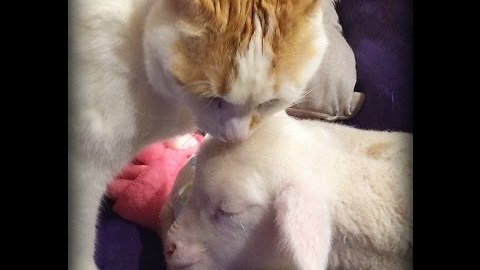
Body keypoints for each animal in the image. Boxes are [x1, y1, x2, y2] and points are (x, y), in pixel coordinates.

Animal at [70, 1, 342, 268]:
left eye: (269, 103)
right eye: (212, 99)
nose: (236, 137)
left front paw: (181, 143)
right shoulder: (84, 170)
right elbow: (82, 236)